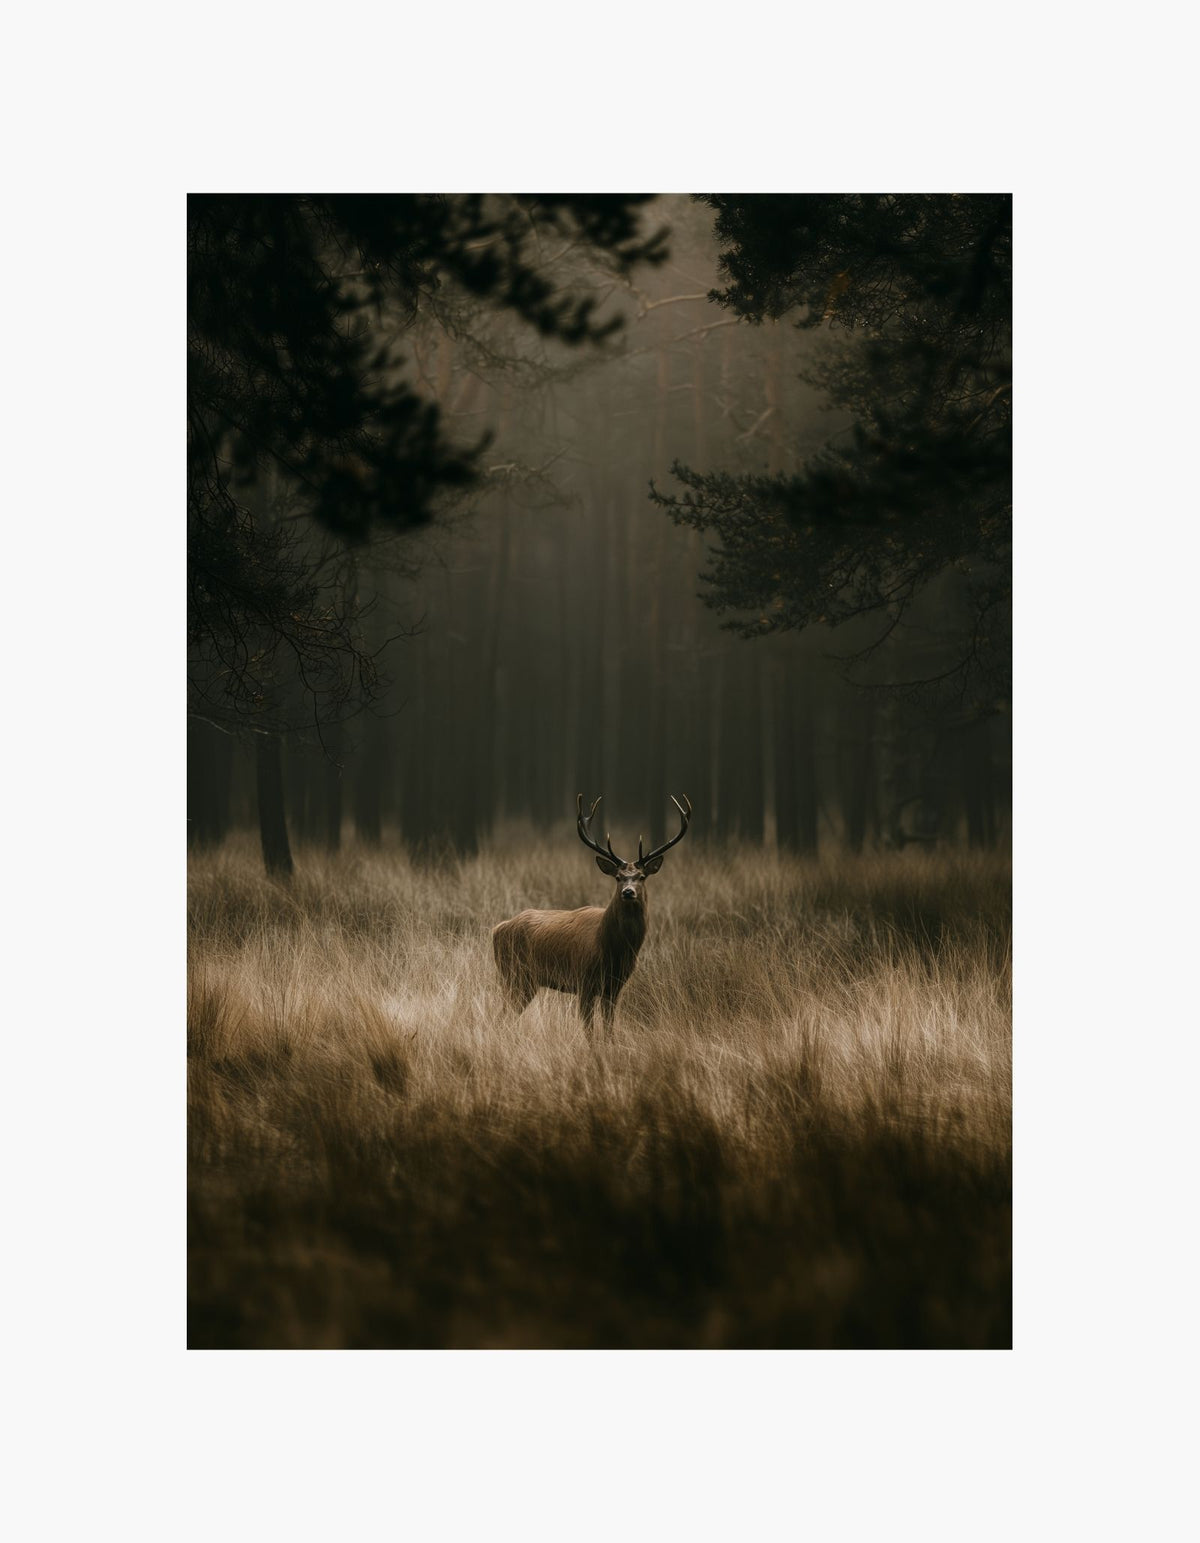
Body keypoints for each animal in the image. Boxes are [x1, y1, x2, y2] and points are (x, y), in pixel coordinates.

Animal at [491, 793, 692, 1034]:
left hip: (524, 980)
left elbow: (608, 1028)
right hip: (514, 974)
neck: (613, 950)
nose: (628, 892)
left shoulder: (614, 987)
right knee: (502, 1015)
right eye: (618, 877)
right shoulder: (584, 979)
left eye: (642, 876)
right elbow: (589, 1030)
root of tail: (498, 929)